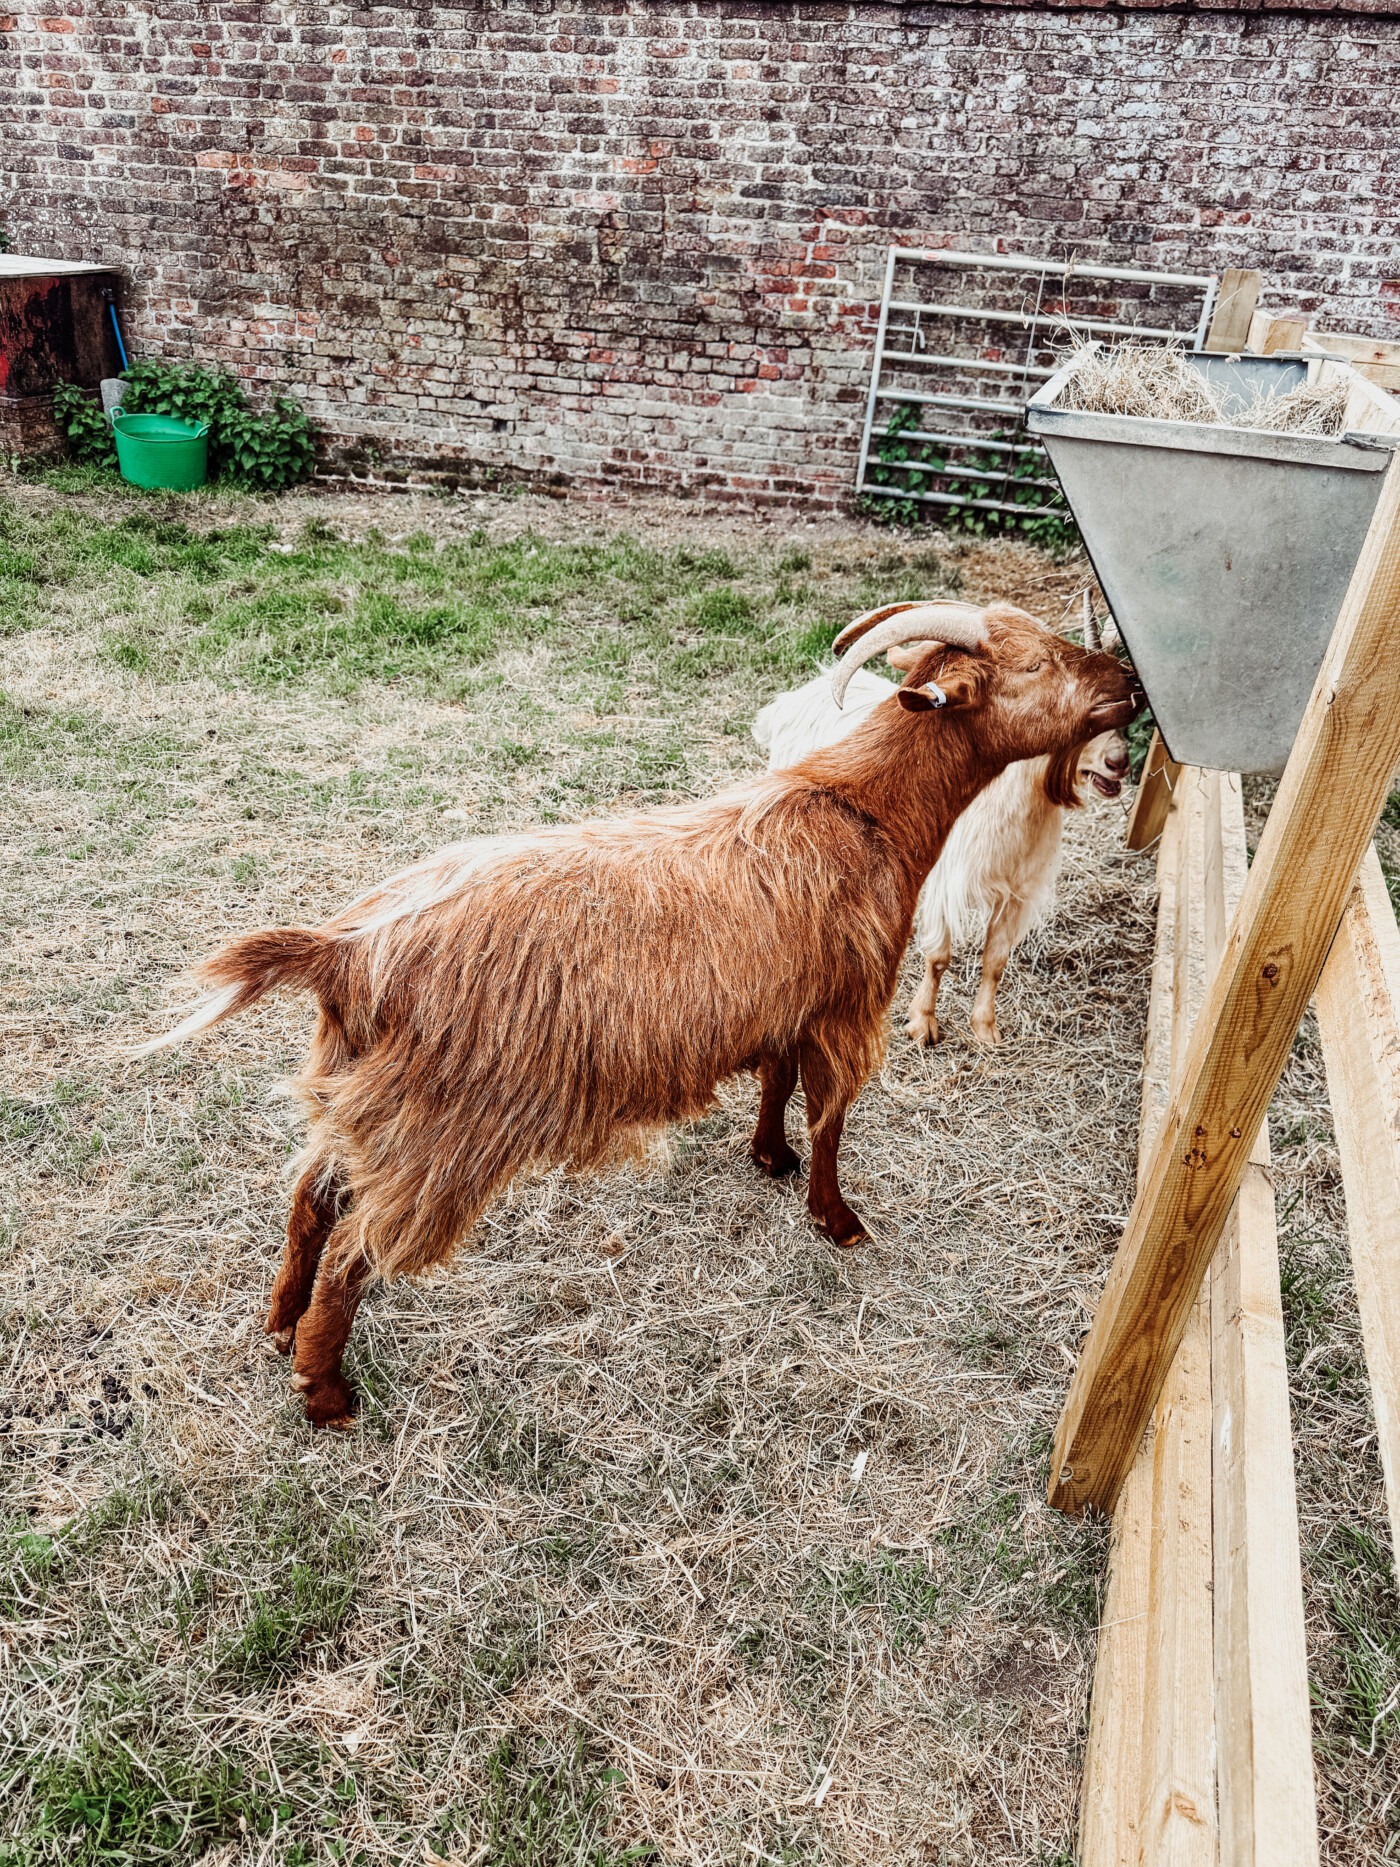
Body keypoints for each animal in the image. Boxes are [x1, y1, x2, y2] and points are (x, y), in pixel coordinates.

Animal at [753, 609, 1129, 1048]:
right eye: (1035, 665)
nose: (1120, 762)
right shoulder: (947, 883)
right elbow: (938, 957)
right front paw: (922, 1023)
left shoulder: (1017, 894)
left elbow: (995, 960)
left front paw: (985, 1028)